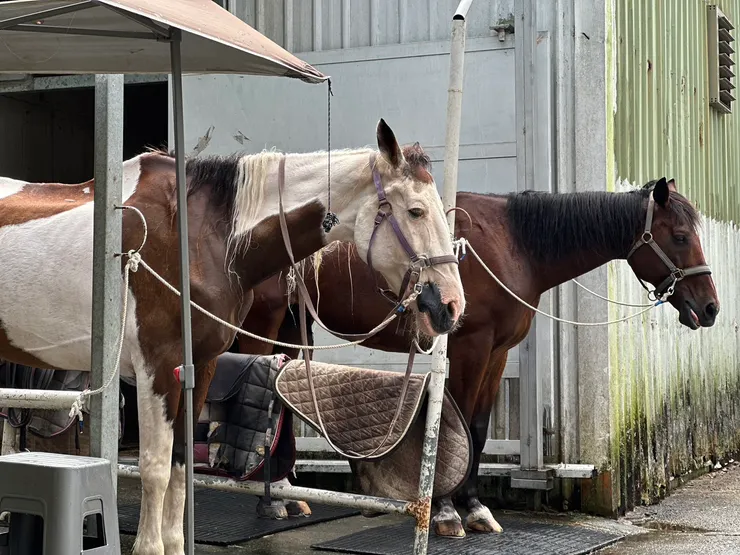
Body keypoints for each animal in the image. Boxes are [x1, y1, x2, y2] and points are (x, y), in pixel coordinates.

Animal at [0, 119, 465, 555]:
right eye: (416, 211)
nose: (450, 307)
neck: (201, 236)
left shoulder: (199, 368)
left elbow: (180, 466)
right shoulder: (156, 370)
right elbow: (154, 469)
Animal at [236, 175, 719, 536]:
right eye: (679, 236)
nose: (711, 307)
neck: (512, 245)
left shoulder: (498, 353)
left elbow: (481, 430)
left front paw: (473, 508)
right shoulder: (470, 348)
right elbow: (462, 428)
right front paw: (448, 512)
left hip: (290, 327)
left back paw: (284, 493)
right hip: (262, 325)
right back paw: (267, 500)